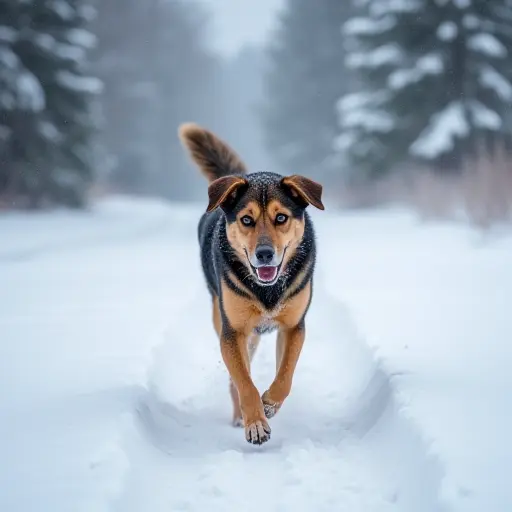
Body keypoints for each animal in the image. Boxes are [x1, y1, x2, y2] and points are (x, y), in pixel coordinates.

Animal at [179, 124, 324, 444]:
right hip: (228, 322)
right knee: (235, 378)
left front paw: (269, 403)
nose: (265, 253)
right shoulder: (233, 332)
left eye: (281, 217)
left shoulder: (294, 326)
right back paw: (240, 416)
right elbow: (244, 382)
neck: (267, 290)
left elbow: (285, 374)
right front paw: (255, 422)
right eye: (247, 220)